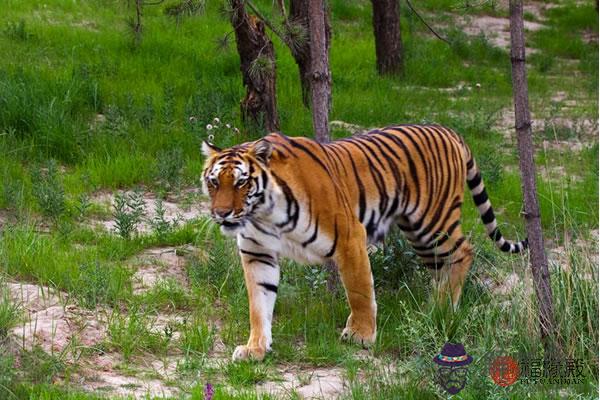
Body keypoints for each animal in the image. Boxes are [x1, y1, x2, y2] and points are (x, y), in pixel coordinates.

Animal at [200, 125, 524, 362]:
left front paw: (361, 335)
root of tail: (449, 131)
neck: (266, 213)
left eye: (241, 182)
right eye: (214, 182)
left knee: (464, 252)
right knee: (442, 267)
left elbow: (359, 291)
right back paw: (436, 309)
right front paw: (255, 348)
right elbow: (259, 304)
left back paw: (442, 311)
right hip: (420, 235)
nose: (222, 213)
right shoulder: (257, 252)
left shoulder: (349, 236)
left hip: (432, 223)